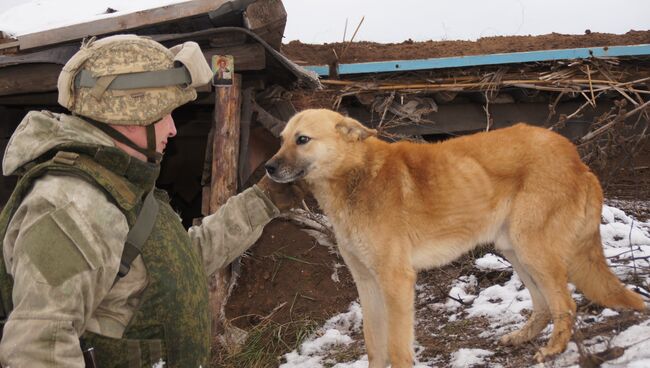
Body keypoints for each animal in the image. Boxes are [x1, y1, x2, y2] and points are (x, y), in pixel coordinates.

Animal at [264, 108, 644, 366]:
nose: (268, 167)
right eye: (281, 140)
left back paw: (552, 350)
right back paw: (522, 337)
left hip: (533, 250)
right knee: (543, 306)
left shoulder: (396, 280)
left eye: (302, 140)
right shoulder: (366, 283)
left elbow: (398, 348)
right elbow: (374, 345)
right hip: (515, 250)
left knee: (566, 305)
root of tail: (577, 159)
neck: (355, 177)